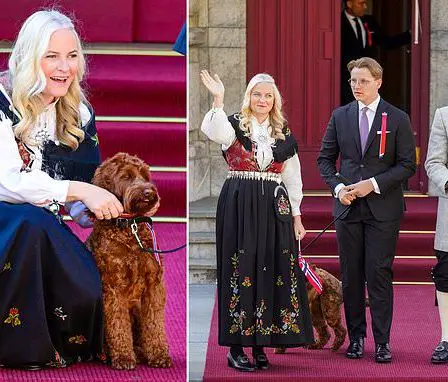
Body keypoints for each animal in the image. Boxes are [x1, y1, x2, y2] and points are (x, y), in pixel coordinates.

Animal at [87, 152, 172, 370]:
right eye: (125, 176)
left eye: (145, 176)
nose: (148, 192)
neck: (129, 228)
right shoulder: (113, 287)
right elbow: (118, 323)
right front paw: (124, 357)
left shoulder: (153, 285)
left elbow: (154, 323)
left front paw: (159, 354)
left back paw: (141, 352)